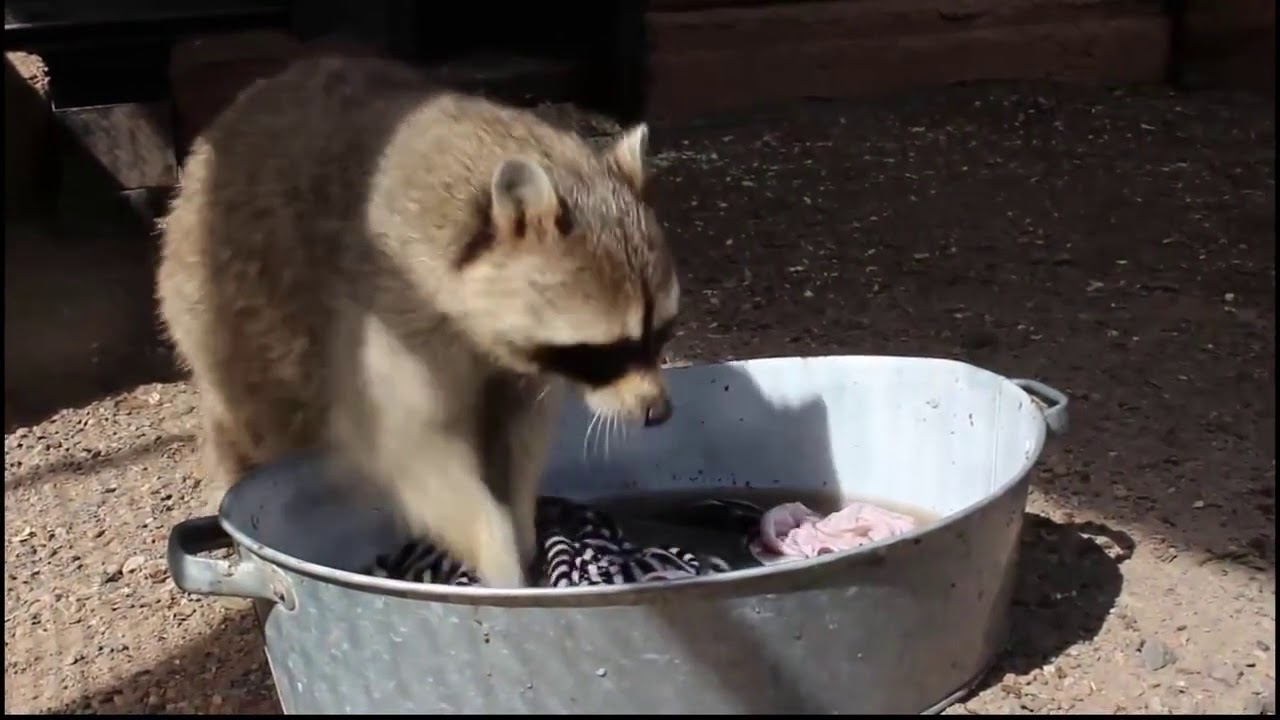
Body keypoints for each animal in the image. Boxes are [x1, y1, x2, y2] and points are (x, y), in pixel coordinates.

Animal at [154, 53, 680, 586]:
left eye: (661, 333)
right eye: (608, 351)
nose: (658, 412)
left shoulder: (513, 358)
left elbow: (515, 435)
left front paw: (520, 521)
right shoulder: (388, 306)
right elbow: (412, 446)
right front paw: (497, 549)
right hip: (220, 308)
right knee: (251, 420)